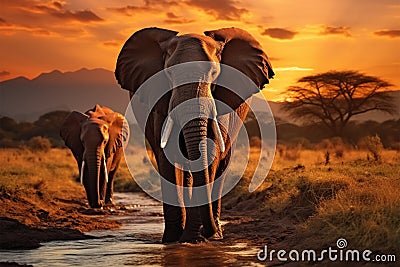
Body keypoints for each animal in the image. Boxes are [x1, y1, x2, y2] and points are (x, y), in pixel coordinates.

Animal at [114, 26, 274, 243]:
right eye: (169, 73)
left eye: (214, 73)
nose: (209, 231)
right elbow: (168, 155)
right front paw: (172, 240)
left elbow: (211, 152)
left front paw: (194, 238)